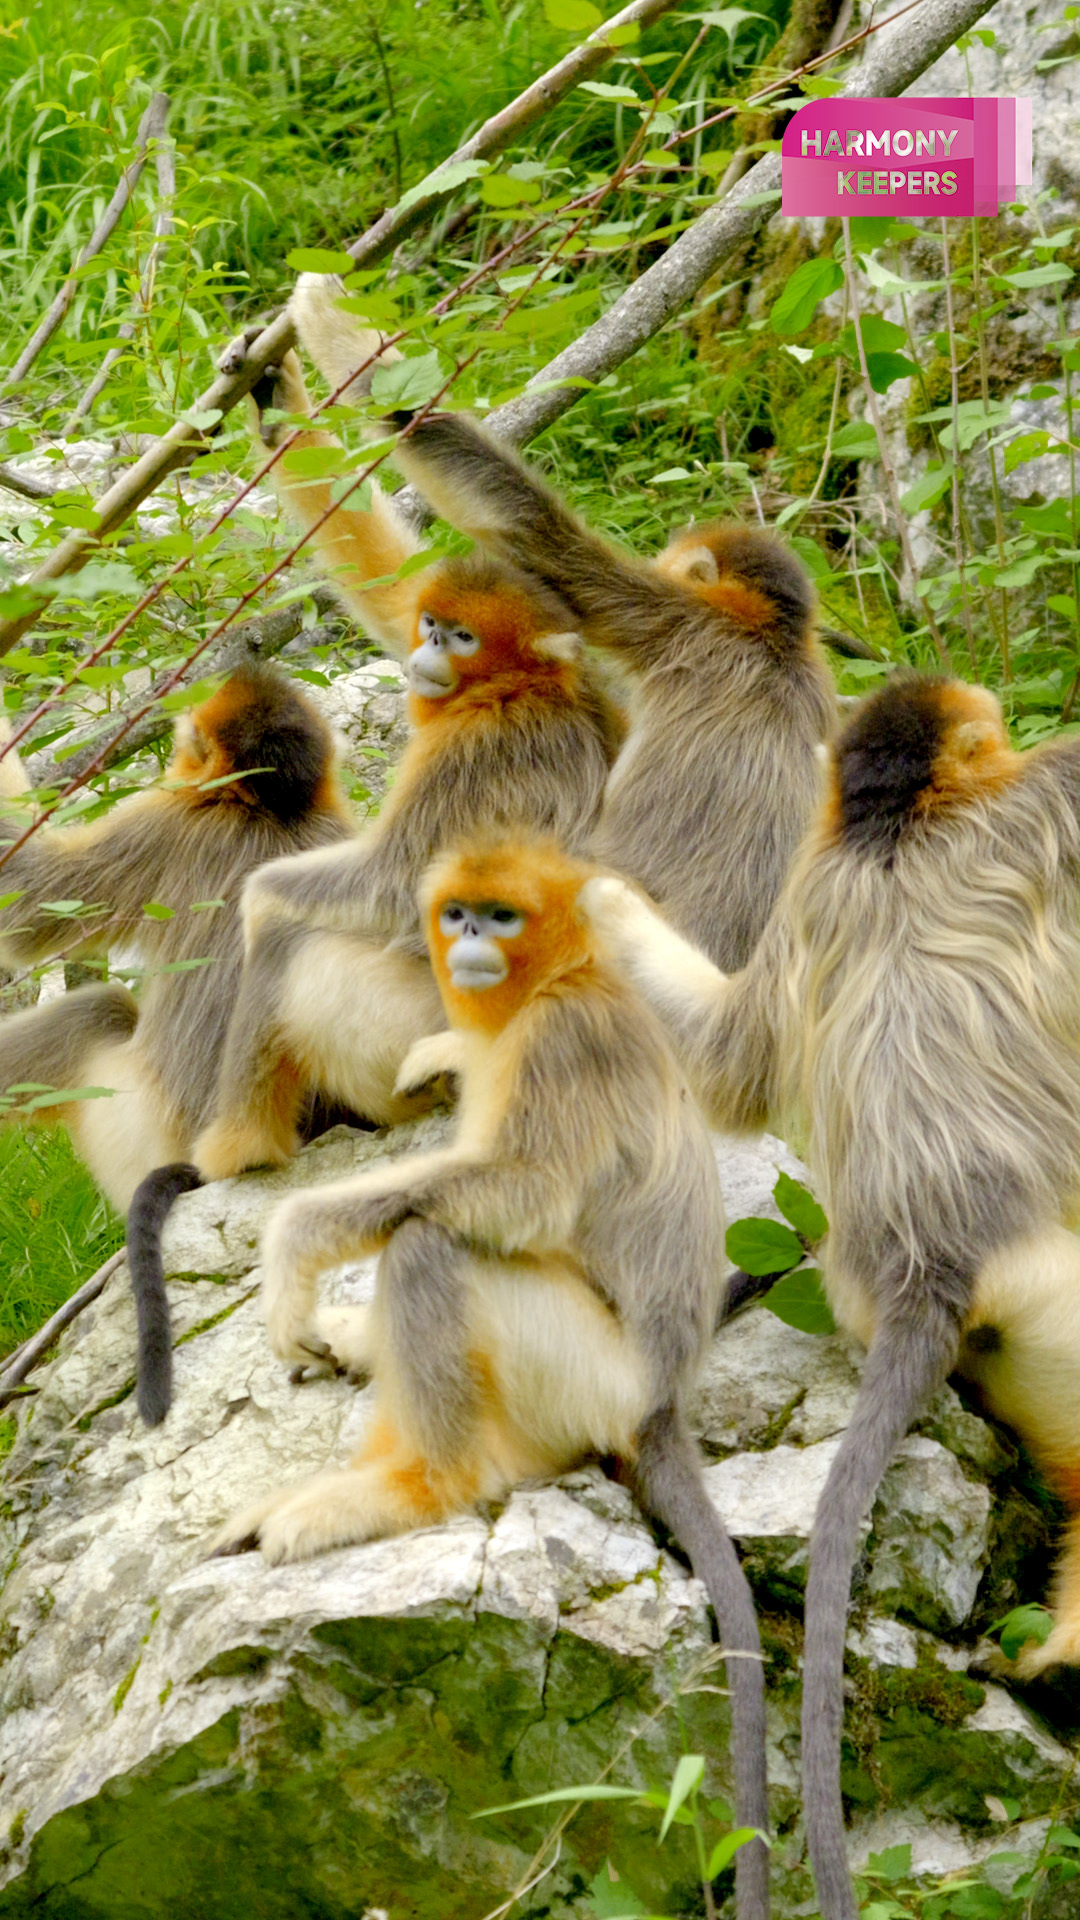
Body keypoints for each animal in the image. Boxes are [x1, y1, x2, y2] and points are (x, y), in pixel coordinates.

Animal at [580, 672, 1080, 1920]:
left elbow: (733, 1066)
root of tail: (926, 1266)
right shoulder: (1045, 804)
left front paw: (595, 899)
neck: (893, 829)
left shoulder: (813, 885)